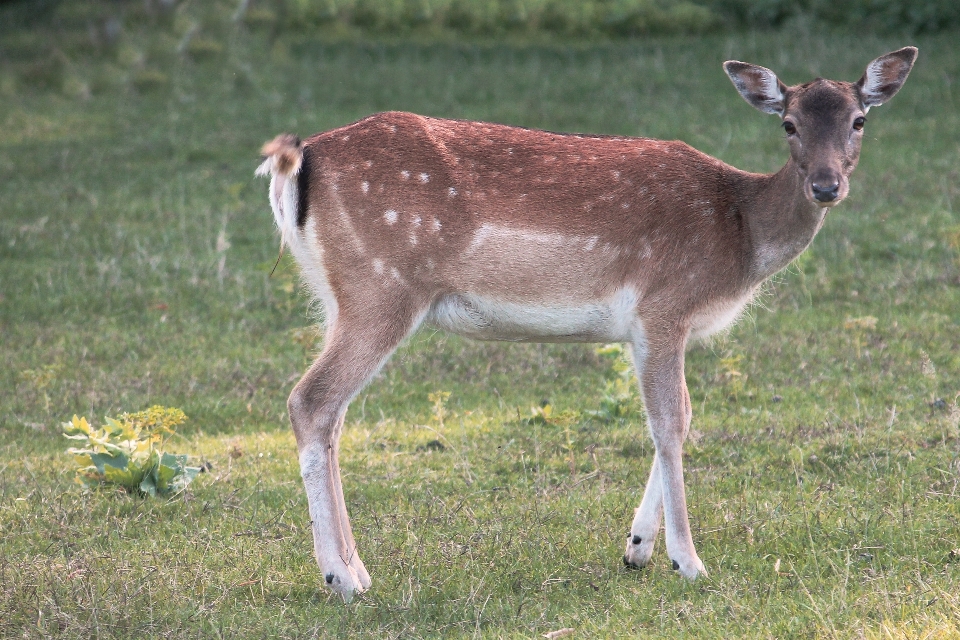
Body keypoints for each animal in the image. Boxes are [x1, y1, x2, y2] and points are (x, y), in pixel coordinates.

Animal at [258, 47, 920, 604]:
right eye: (788, 124)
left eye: (859, 120)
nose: (827, 185)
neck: (741, 233)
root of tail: (297, 163)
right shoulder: (663, 305)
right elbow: (669, 421)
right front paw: (688, 561)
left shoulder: (649, 329)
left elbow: (679, 417)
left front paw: (638, 549)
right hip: (383, 288)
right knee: (311, 400)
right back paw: (342, 577)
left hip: (341, 297)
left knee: (334, 414)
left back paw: (355, 567)